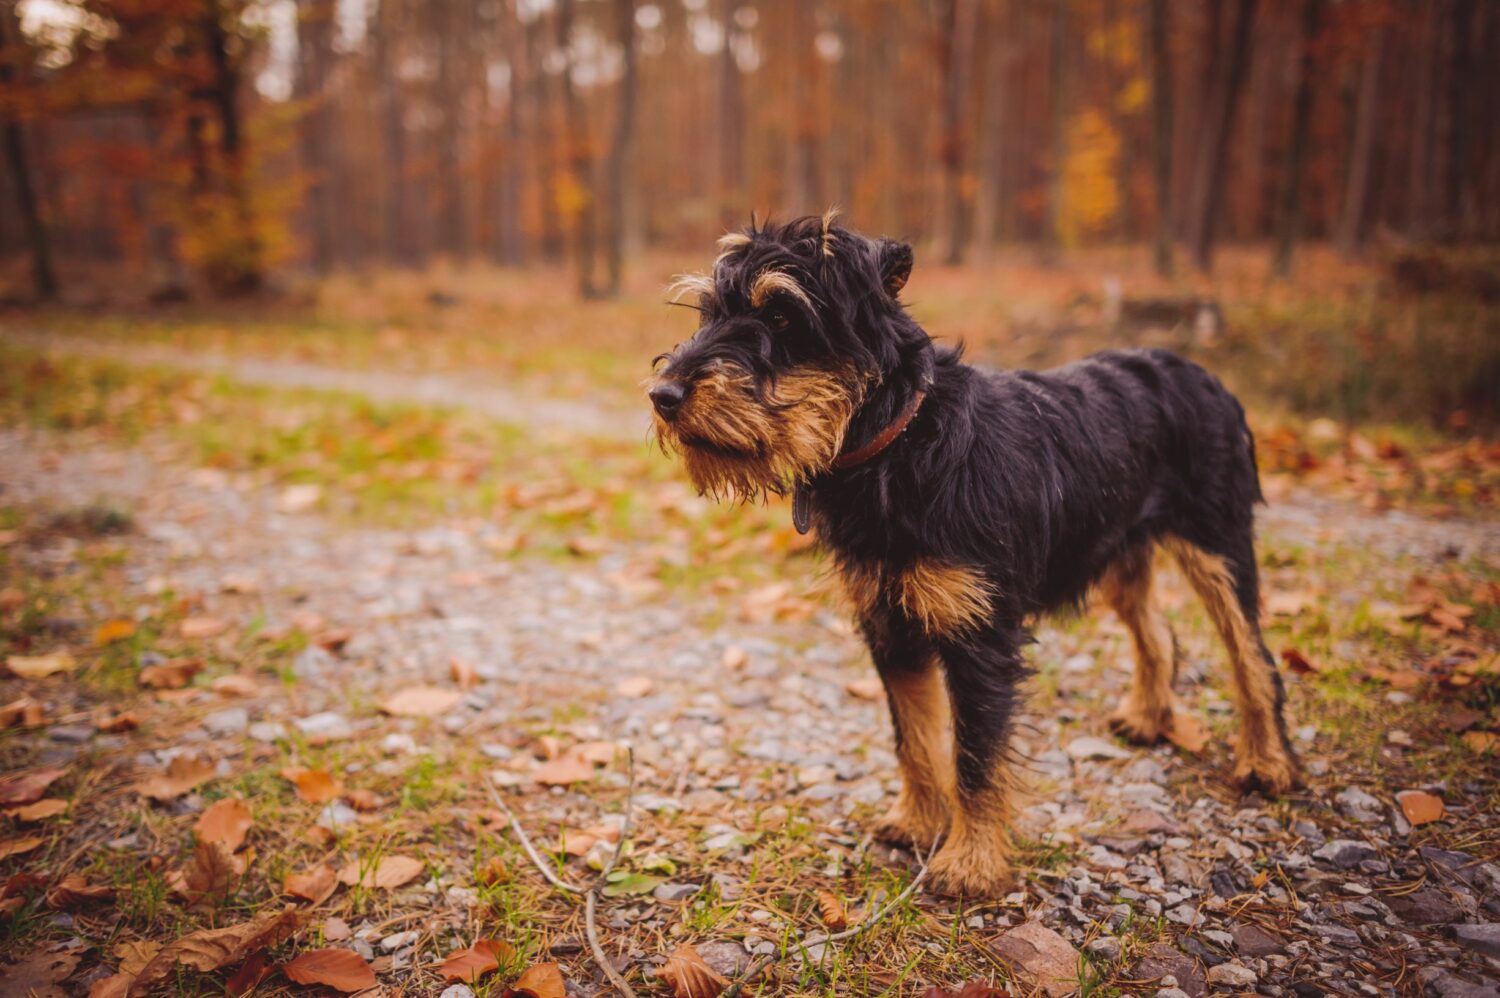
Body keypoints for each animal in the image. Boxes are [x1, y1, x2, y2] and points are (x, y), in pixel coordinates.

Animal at [648, 211, 1302, 894]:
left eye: (778, 314)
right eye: (707, 313)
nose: (662, 394)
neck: (901, 447)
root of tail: (1205, 375)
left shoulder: (979, 637)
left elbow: (976, 755)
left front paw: (972, 861)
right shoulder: (890, 629)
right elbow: (914, 737)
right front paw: (918, 821)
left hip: (1217, 547)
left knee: (1254, 658)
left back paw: (1265, 762)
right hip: (1119, 551)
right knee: (1156, 632)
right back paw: (1149, 717)